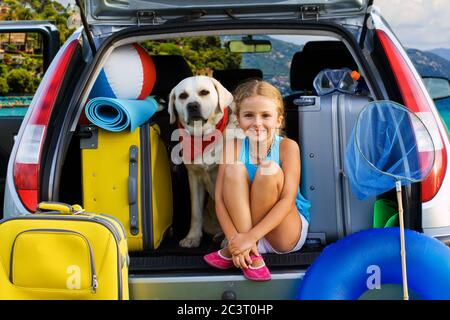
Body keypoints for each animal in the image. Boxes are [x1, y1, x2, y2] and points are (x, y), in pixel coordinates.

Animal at [169, 76, 236, 249]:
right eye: (182, 96)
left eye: (204, 92)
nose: (192, 105)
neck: (203, 136)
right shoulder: (194, 177)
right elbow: (195, 212)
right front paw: (192, 237)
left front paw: (230, 241)